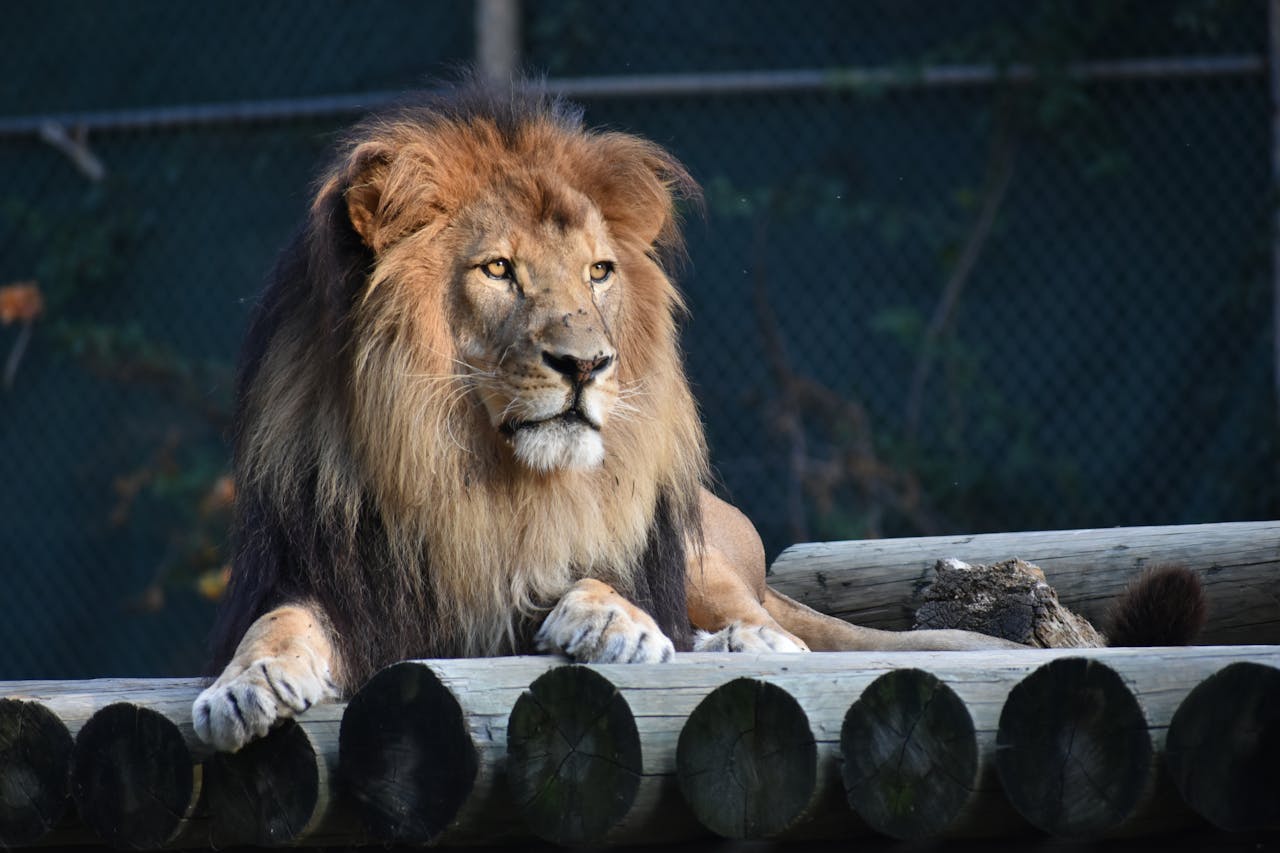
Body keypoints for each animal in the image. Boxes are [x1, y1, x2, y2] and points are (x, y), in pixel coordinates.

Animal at [192, 82, 1086, 753]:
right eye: (498, 270)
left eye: (598, 272)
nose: (587, 364)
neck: (475, 479)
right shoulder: (329, 577)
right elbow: (277, 621)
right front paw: (244, 685)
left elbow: (598, 576)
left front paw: (610, 621)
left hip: (707, 553)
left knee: (769, 626)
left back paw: (745, 640)